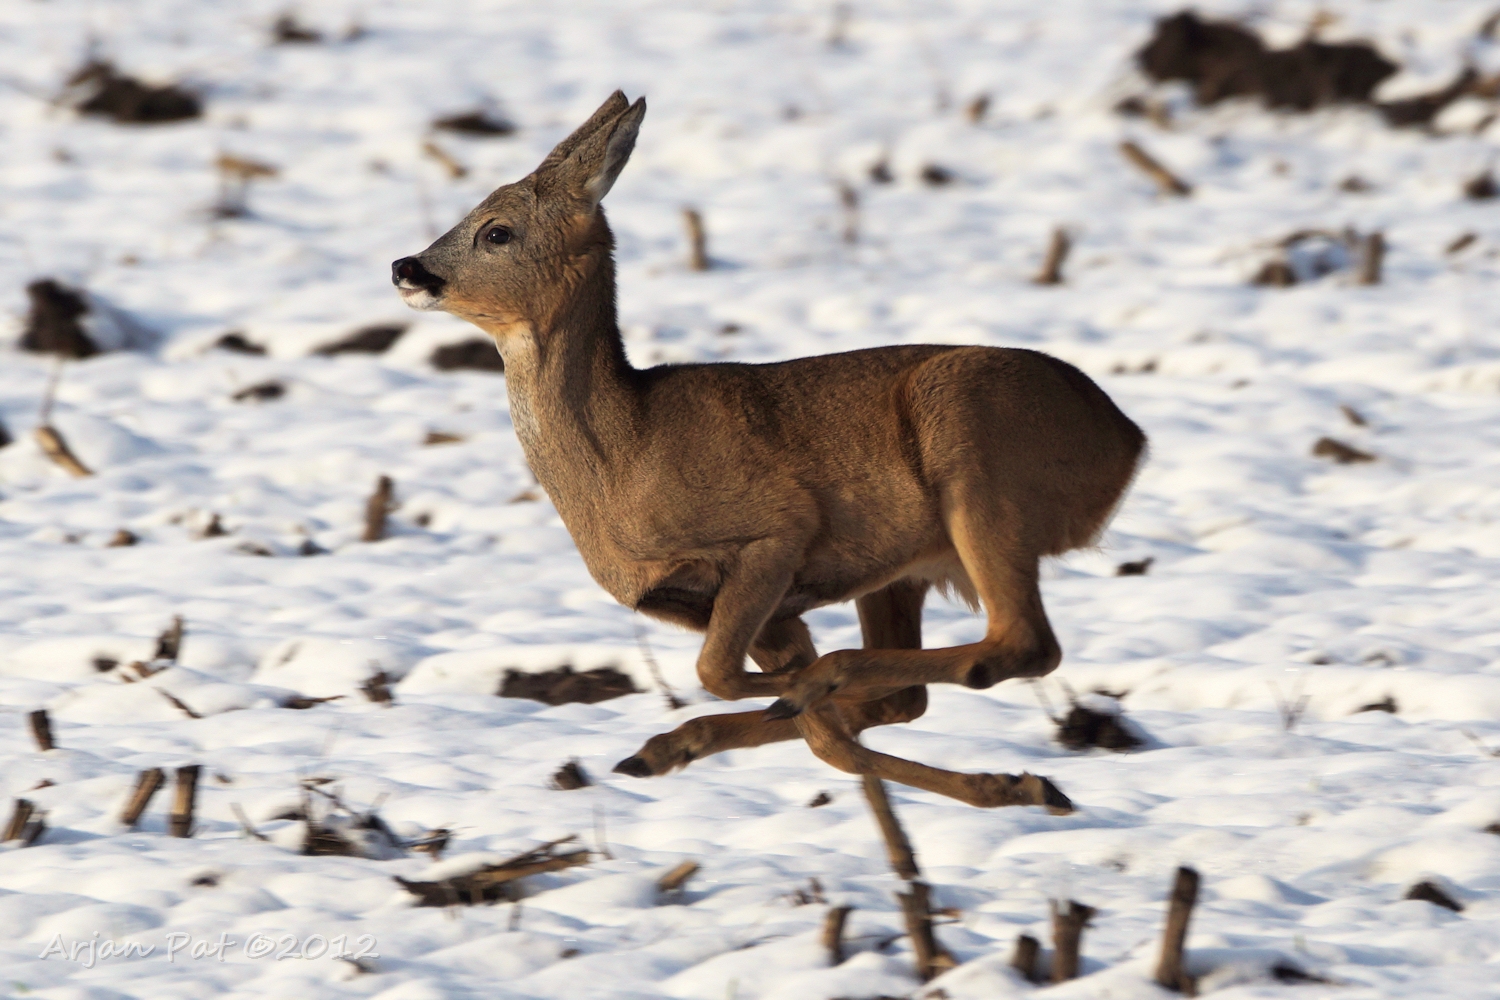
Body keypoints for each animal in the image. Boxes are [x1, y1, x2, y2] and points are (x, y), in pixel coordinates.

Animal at [392, 92, 1146, 810]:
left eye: (497, 230)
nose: (407, 266)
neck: (624, 460)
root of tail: (1127, 439)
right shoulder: (743, 605)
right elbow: (798, 718)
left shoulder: (777, 533)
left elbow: (722, 675)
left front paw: (795, 692)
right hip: (907, 564)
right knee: (919, 689)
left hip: (975, 453)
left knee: (1022, 641)